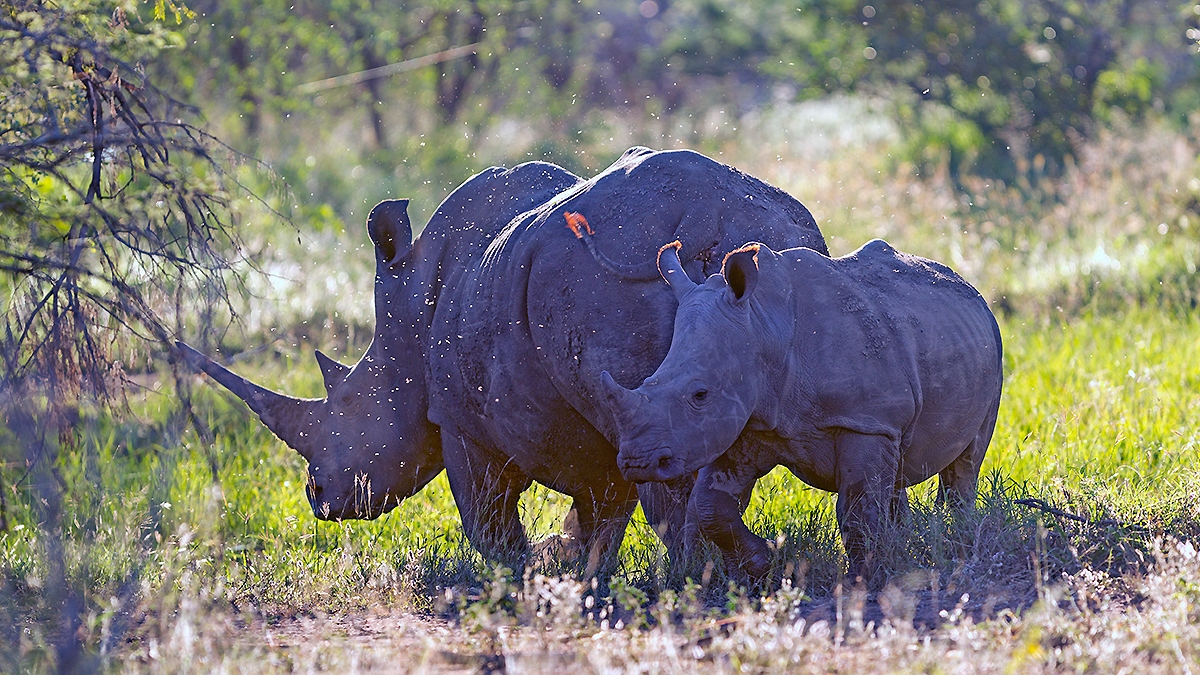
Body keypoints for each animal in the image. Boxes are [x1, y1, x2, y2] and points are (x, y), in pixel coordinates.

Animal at [599, 239, 1003, 579]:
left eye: (700, 394)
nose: (636, 462)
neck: (765, 327)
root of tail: (970, 288)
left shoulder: (866, 421)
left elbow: (856, 509)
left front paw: (867, 579)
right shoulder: (748, 423)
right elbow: (710, 505)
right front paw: (763, 561)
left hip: (993, 352)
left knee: (965, 464)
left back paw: (960, 540)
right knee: (896, 472)